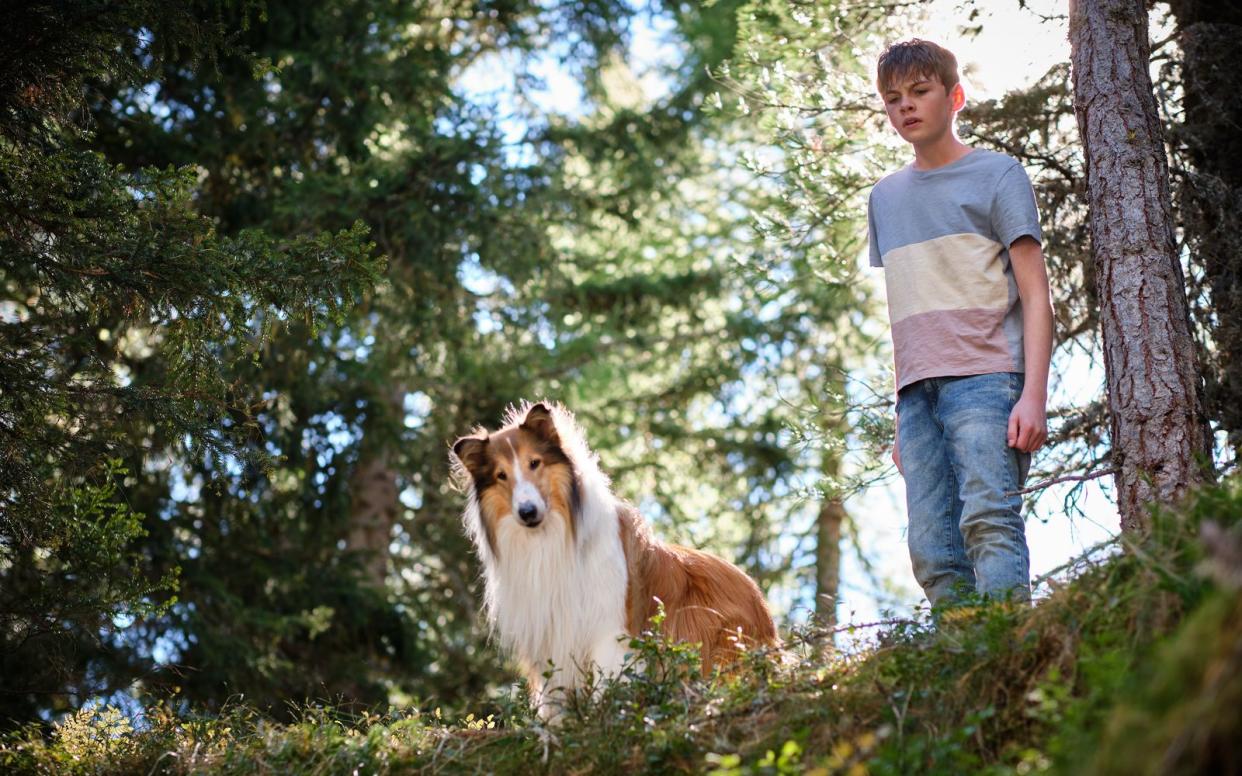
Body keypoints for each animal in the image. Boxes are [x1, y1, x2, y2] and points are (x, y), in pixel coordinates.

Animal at [452, 402, 770, 715]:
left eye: (534, 462)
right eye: (501, 475)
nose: (527, 512)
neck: (550, 539)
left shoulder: (609, 630)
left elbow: (606, 689)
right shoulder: (548, 634)